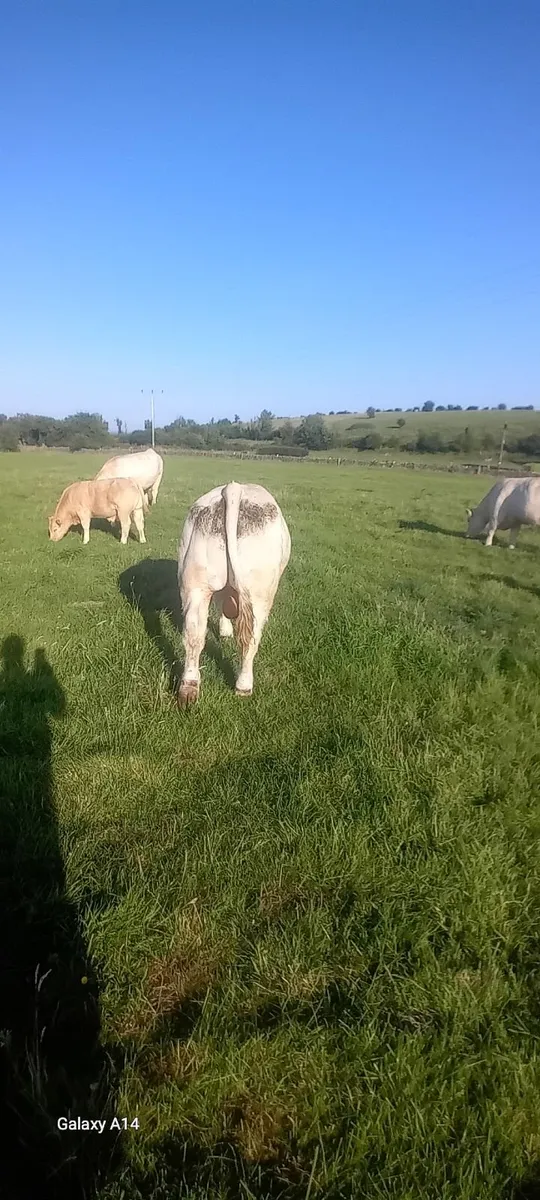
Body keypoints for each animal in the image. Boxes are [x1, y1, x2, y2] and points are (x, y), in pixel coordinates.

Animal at [177, 481, 291, 706]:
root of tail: (234, 488)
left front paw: (224, 630)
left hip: (195, 584)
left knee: (194, 634)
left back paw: (189, 687)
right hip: (259, 592)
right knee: (250, 639)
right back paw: (244, 686)